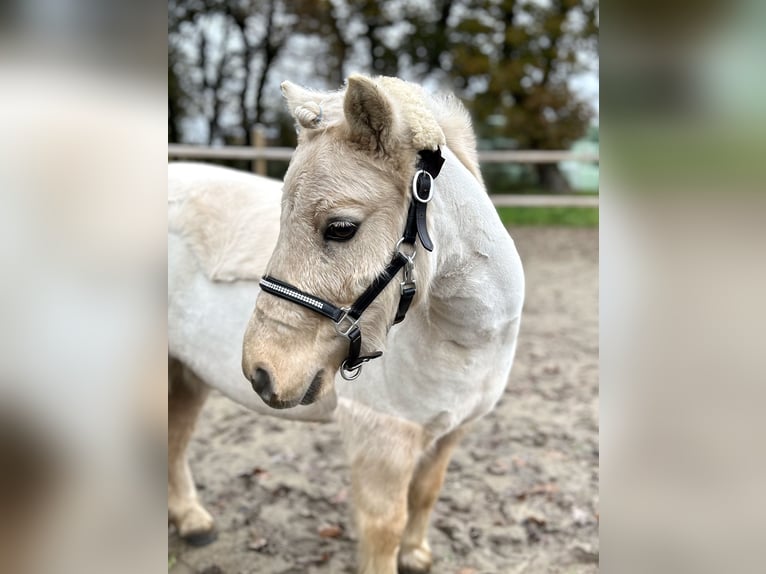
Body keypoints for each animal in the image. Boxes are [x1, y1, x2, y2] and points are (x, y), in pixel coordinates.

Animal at [169, 74, 528, 572]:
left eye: (341, 228)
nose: (262, 372)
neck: (465, 340)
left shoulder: (452, 430)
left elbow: (426, 493)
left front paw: (416, 555)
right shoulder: (383, 438)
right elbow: (384, 528)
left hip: (185, 373)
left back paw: (191, 521)